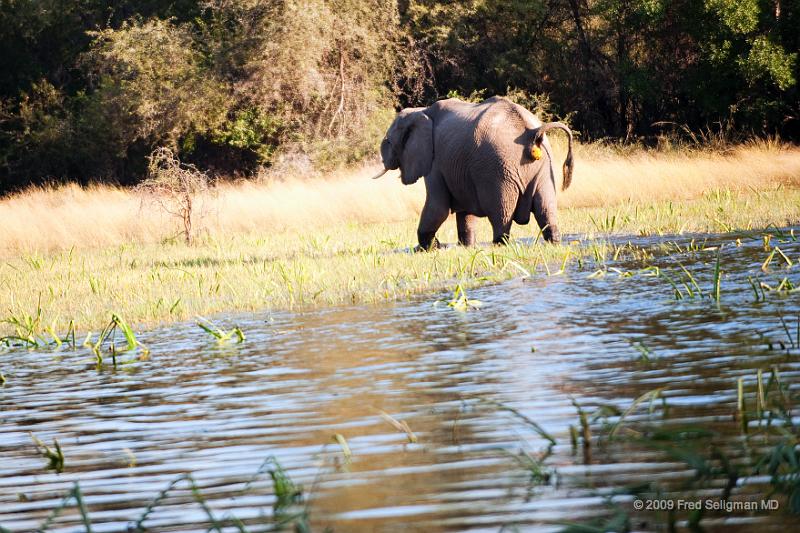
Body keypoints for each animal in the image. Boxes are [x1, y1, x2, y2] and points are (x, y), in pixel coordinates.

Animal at [376, 96, 576, 249]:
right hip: (543, 168)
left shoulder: (435, 162)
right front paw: (464, 247)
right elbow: (465, 212)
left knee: (501, 217)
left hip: (498, 171)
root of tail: (532, 132)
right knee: (546, 209)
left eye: (389, 142)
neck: (421, 111)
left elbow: (437, 207)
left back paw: (499, 245)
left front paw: (427, 249)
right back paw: (554, 242)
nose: (441, 244)